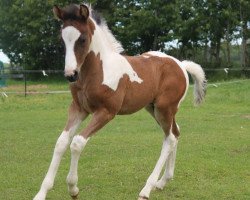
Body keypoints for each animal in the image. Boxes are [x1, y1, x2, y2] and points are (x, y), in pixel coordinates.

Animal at [33, 3, 207, 200]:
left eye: (83, 39)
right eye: (62, 41)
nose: (71, 74)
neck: (98, 70)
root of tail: (181, 65)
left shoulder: (106, 112)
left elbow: (77, 142)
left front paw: (73, 188)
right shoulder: (78, 109)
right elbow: (61, 142)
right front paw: (41, 193)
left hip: (165, 108)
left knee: (170, 139)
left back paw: (146, 189)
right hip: (154, 108)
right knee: (175, 133)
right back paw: (163, 182)